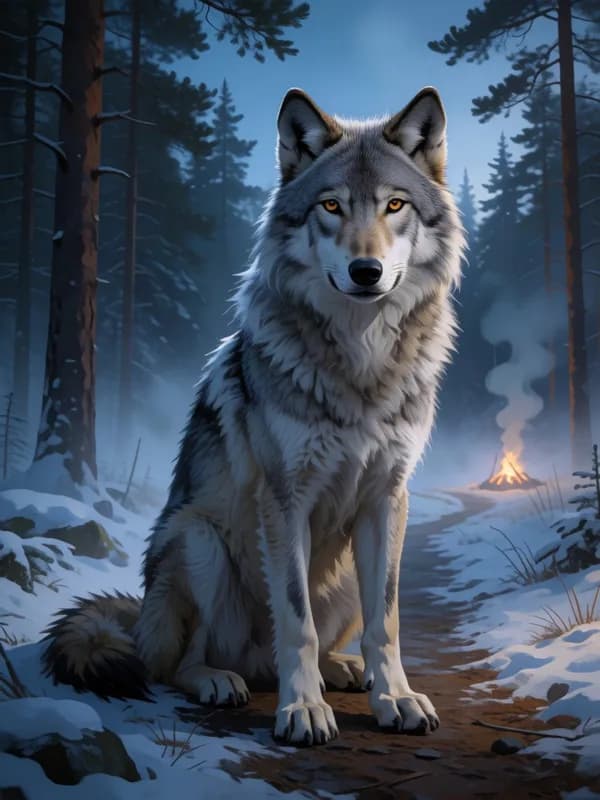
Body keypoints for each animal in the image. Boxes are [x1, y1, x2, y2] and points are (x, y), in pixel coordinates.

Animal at [43, 86, 464, 746]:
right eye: (331, 206)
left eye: (394, 205)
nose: (365, 271)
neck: (361, 359)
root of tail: (139, 620)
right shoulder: (284, 498)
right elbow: (295, 619)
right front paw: (303, 710)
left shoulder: (387, 499)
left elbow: (387, 621)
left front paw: (394, 697)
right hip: (198, 540)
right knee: (177, 664)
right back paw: (222, 681)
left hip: (343, 574)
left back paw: (343, 670)